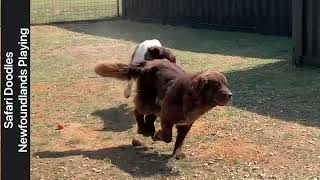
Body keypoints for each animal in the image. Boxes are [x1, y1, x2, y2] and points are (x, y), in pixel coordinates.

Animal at [94, 59, 231, 159]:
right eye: (217, 85)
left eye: (225, 84)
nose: (230, 95)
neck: (192, 99)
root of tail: (147, 63)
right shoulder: (167, 117)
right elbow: (167, 137)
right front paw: (158, 135)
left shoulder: (185, 124)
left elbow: (180, 140)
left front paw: (177, 153)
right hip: (148, 101)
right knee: (138, 111)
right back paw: (143, 129)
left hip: (156, 105)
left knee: (149, 117)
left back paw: (149, 130)